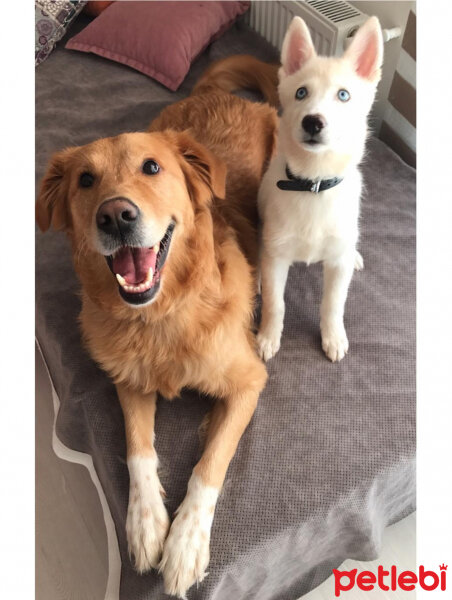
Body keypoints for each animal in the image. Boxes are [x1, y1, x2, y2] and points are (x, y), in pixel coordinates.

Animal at [38, 57, 278, 596]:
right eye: (86, 180)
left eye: (151, 167)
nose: (115, 215)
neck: (159, 318)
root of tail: (213, 94)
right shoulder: (127, 378)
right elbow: (137, 449)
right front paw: (145, 523)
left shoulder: (249, 382)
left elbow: (209, 464)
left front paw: (186, 541)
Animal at [256, 15, 384, 360]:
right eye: (301, 93)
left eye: (344, 95)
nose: (313, 122)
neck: (313, 184)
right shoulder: (276, 257)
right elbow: (275, 303)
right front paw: (268, 337)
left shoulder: (337, 266)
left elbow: (333, 304)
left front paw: (333, 337)